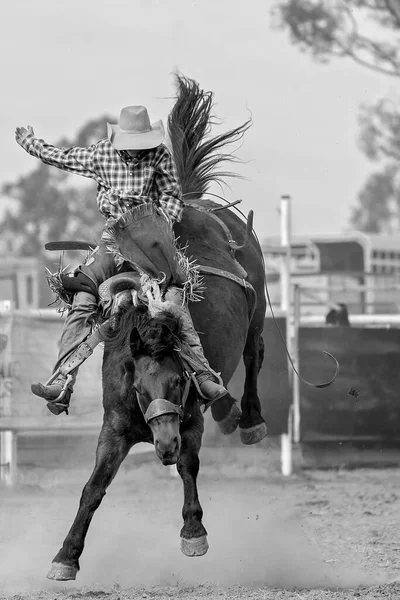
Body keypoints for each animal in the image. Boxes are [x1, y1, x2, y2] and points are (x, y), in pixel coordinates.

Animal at [44, 74, 268, 580]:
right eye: (137, 385)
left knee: (254, 355)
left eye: (180, 380)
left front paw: (193, 533)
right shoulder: (114, 427)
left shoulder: (189, 421)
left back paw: (247, 419)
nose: (162, 442)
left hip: (259, 308)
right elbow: (93, 488)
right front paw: (65, 555)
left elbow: (189, 467)